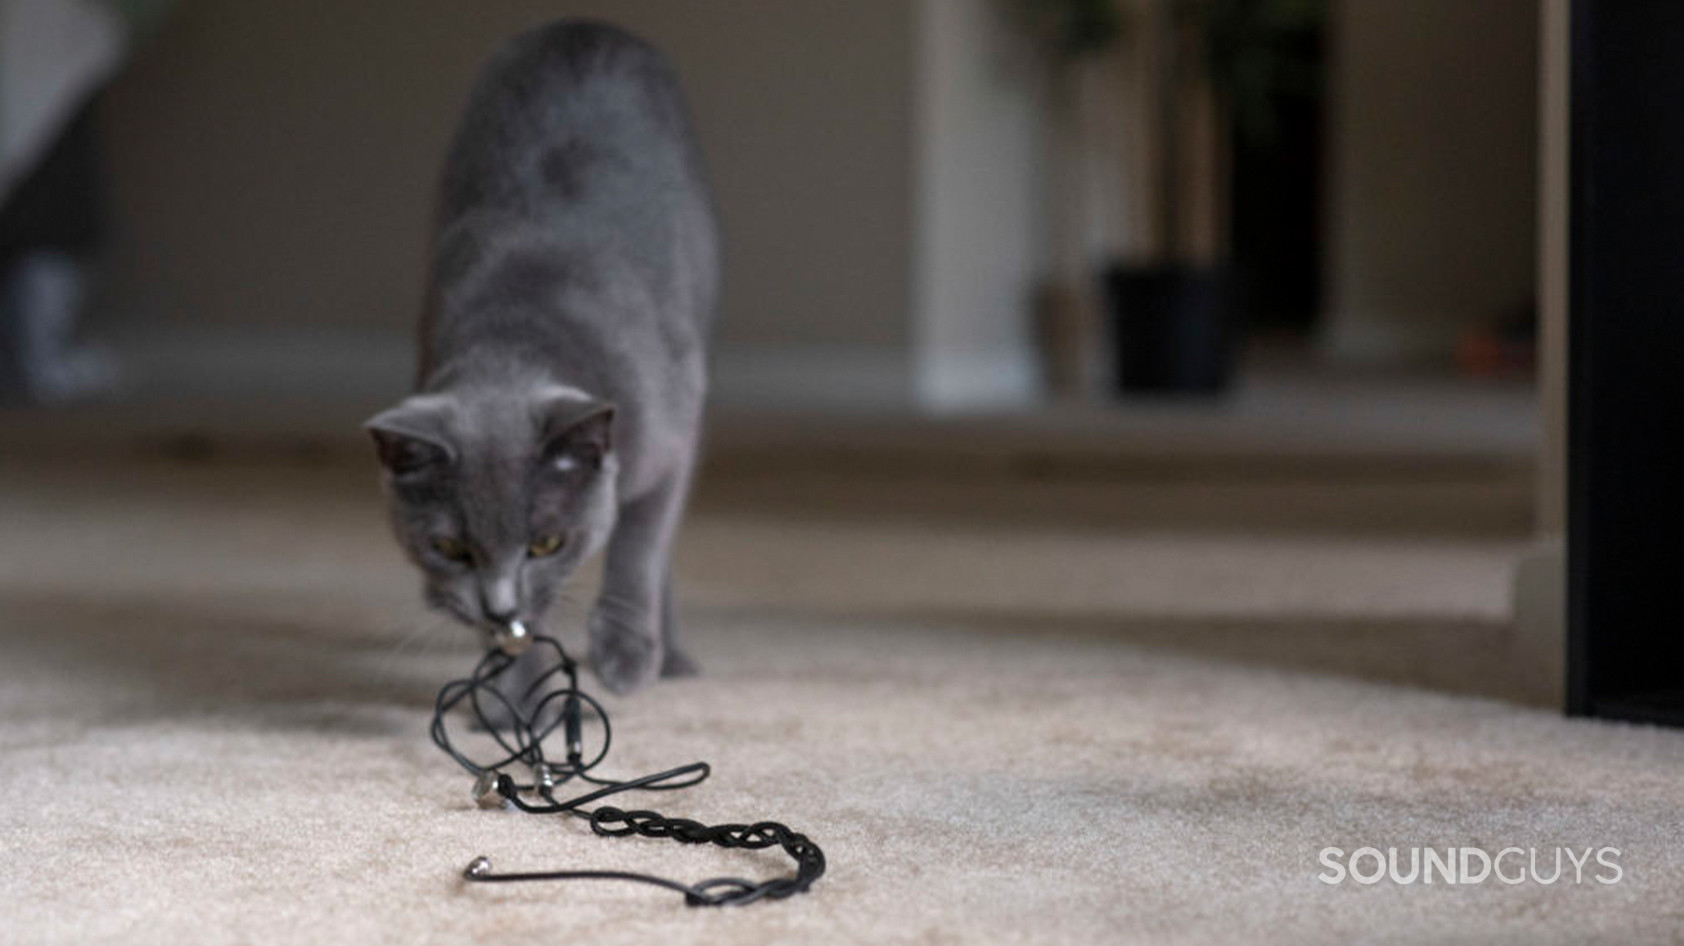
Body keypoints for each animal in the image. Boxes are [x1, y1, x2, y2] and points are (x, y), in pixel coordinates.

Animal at [365, 20, 714, 693]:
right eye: (451, 548)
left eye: (547, 542)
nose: (497, 605)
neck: (513, 348)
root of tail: (582, 24)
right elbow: (530, 620)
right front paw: (519, 694)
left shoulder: (672, 429)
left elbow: (640, 543)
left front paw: (625, 654)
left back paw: (671, 657)